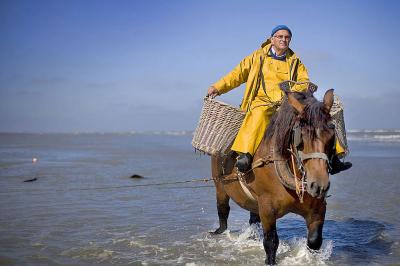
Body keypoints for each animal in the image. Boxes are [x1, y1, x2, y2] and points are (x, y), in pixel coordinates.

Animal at [211, 89, 336, 264]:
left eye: (332, 133)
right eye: (301, 137)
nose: (319, 185)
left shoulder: (318, 209)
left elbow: (314, 241)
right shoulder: (267, 208)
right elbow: (271, 242)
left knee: (253, 218)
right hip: (220, 186)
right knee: (222, 209)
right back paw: (220, 230)